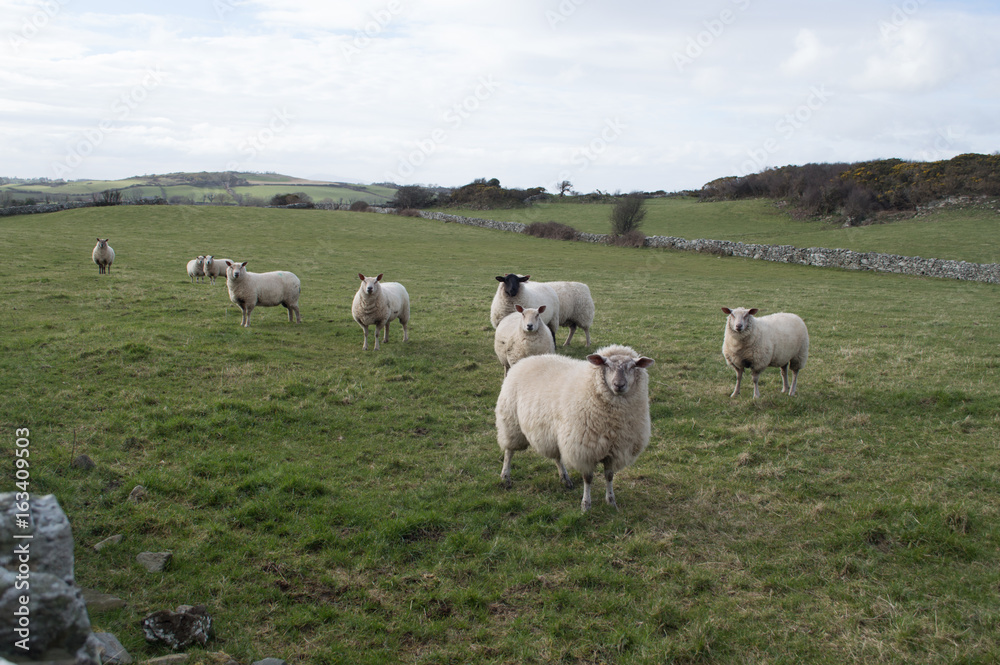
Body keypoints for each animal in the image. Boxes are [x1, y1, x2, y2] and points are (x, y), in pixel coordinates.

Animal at [498, 344, 656, 510]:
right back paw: (505, 476)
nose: (619, 385)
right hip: (511, 422)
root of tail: (527, 359)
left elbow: (609, 476)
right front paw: (586, 505)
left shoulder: (614, 451)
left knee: (557, 457)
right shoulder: (584, 450)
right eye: (606, 364)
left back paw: (565, 479)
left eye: (632, 366)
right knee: (509, 451)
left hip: (552, 433)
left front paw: (611, 501)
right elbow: (588, 478)